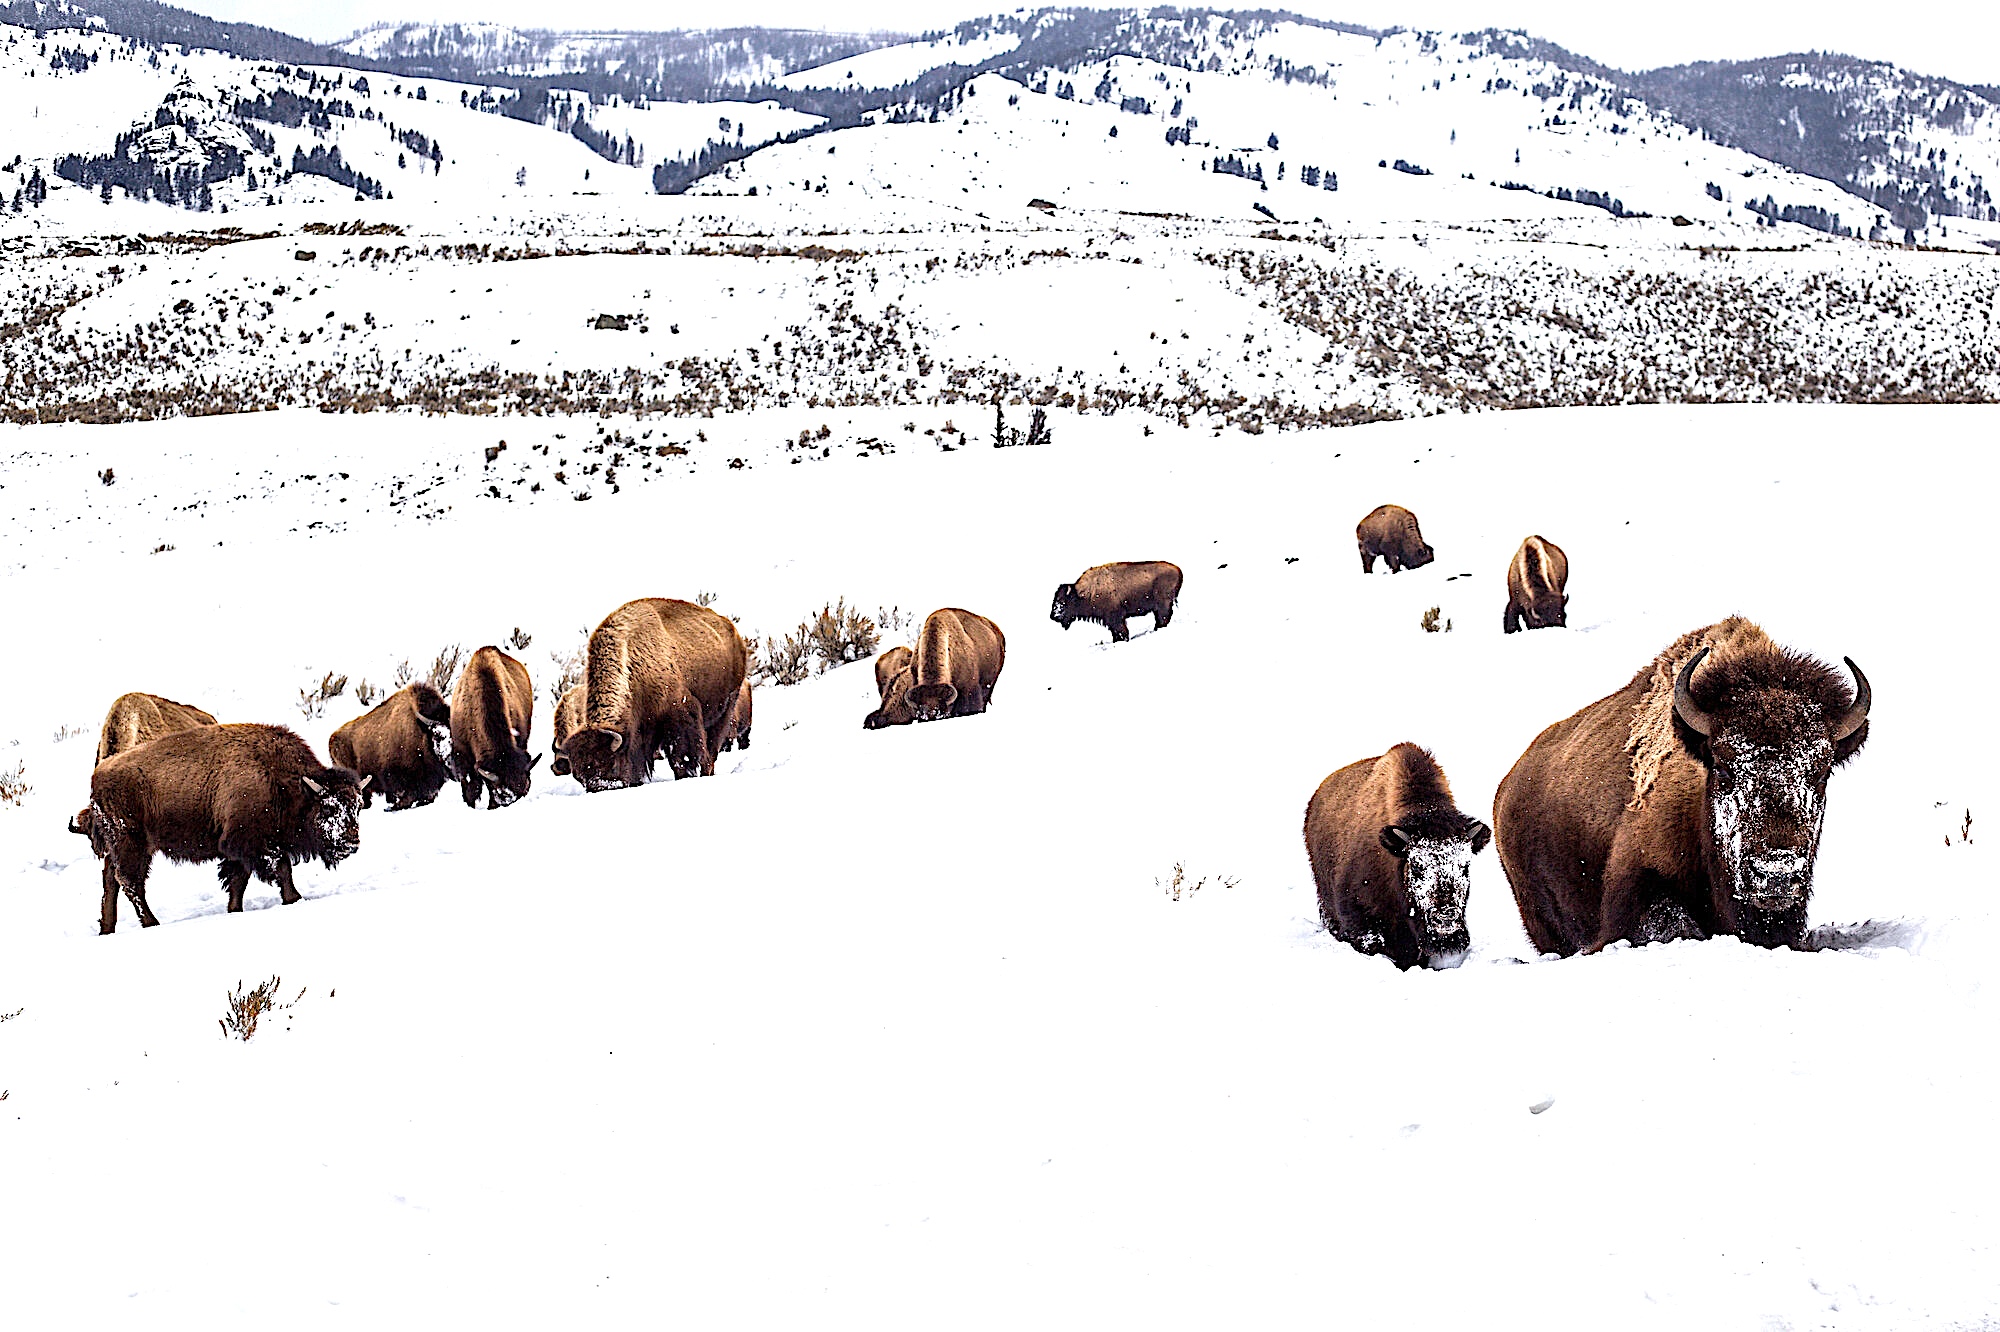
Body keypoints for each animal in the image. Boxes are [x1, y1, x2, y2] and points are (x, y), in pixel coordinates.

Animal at [84, 723, 367, 934]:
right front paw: (294, 898)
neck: (282, 780)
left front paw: (234, 910)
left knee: (111, 881)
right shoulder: (252, 842)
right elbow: (281, 868)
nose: (352, 843)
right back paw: (152, 923)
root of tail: (98, 774)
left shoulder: (241, 849)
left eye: (357, 807)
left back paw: (108, 928)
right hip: (133, 843)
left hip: (119, 847)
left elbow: (238, 881)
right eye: (328, 808)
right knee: (131, 883)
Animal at [563, 598, 748, 791]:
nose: (599, 789)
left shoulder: (679, 714)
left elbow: (681, 757)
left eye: (612, 764)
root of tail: (733, 632)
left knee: (712, 747)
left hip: (726, 708)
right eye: (579, 777)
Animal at [1050, 561, 1183, 643]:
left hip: (1162, 604)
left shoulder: (1115, 617)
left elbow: (1120, 631)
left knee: (1163, 617)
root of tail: (1177, 569)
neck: (1083, 593)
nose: (1053, 616)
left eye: (1063, 602)